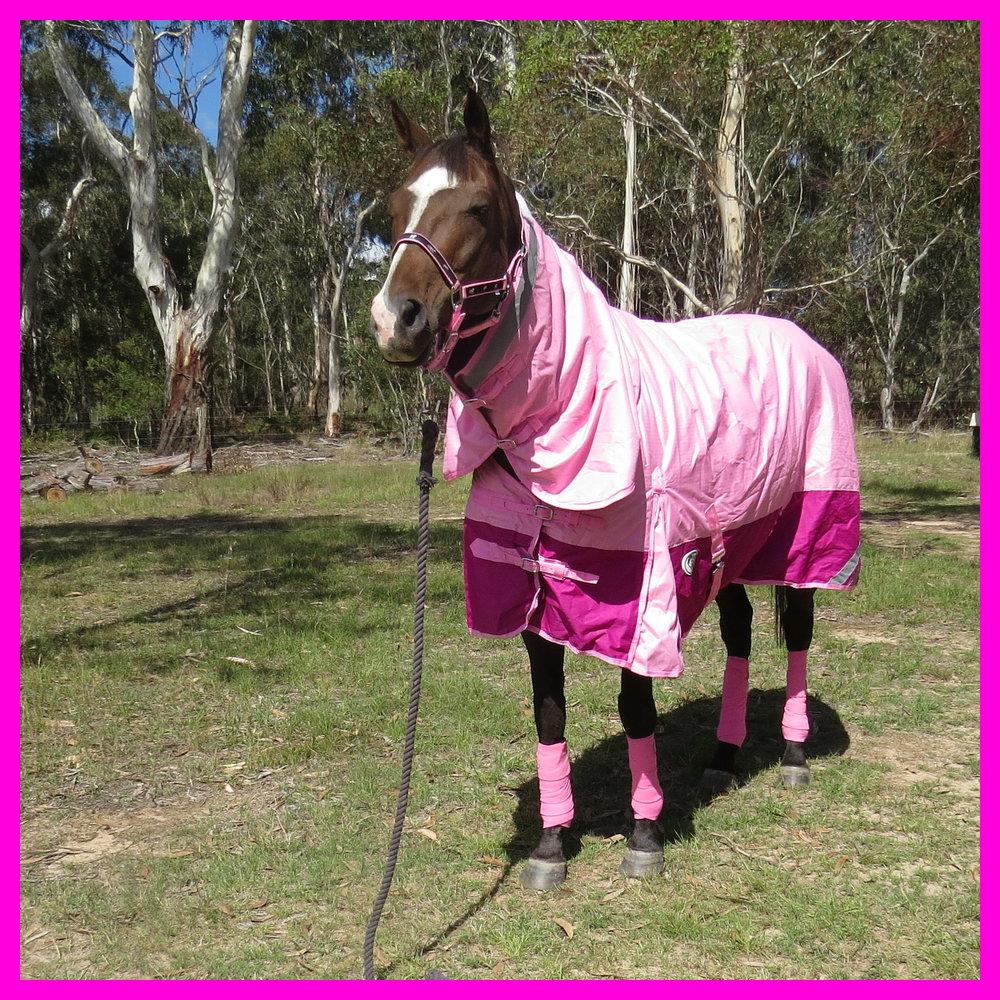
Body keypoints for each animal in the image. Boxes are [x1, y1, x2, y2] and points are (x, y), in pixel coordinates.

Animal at [370, 90, 861, 891]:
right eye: (392, 207)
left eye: (476, 206)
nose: (395, 321)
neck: (548, 430)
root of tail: (805, 341)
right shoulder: (530, 588)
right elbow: (549, 712)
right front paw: (549, 847)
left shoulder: (639, 593)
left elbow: (636, 705)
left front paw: (644, 834)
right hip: (725, 547)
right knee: (739, 633)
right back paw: (724, 759)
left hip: (806, 537)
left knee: (796, 633)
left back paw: (791, 755)